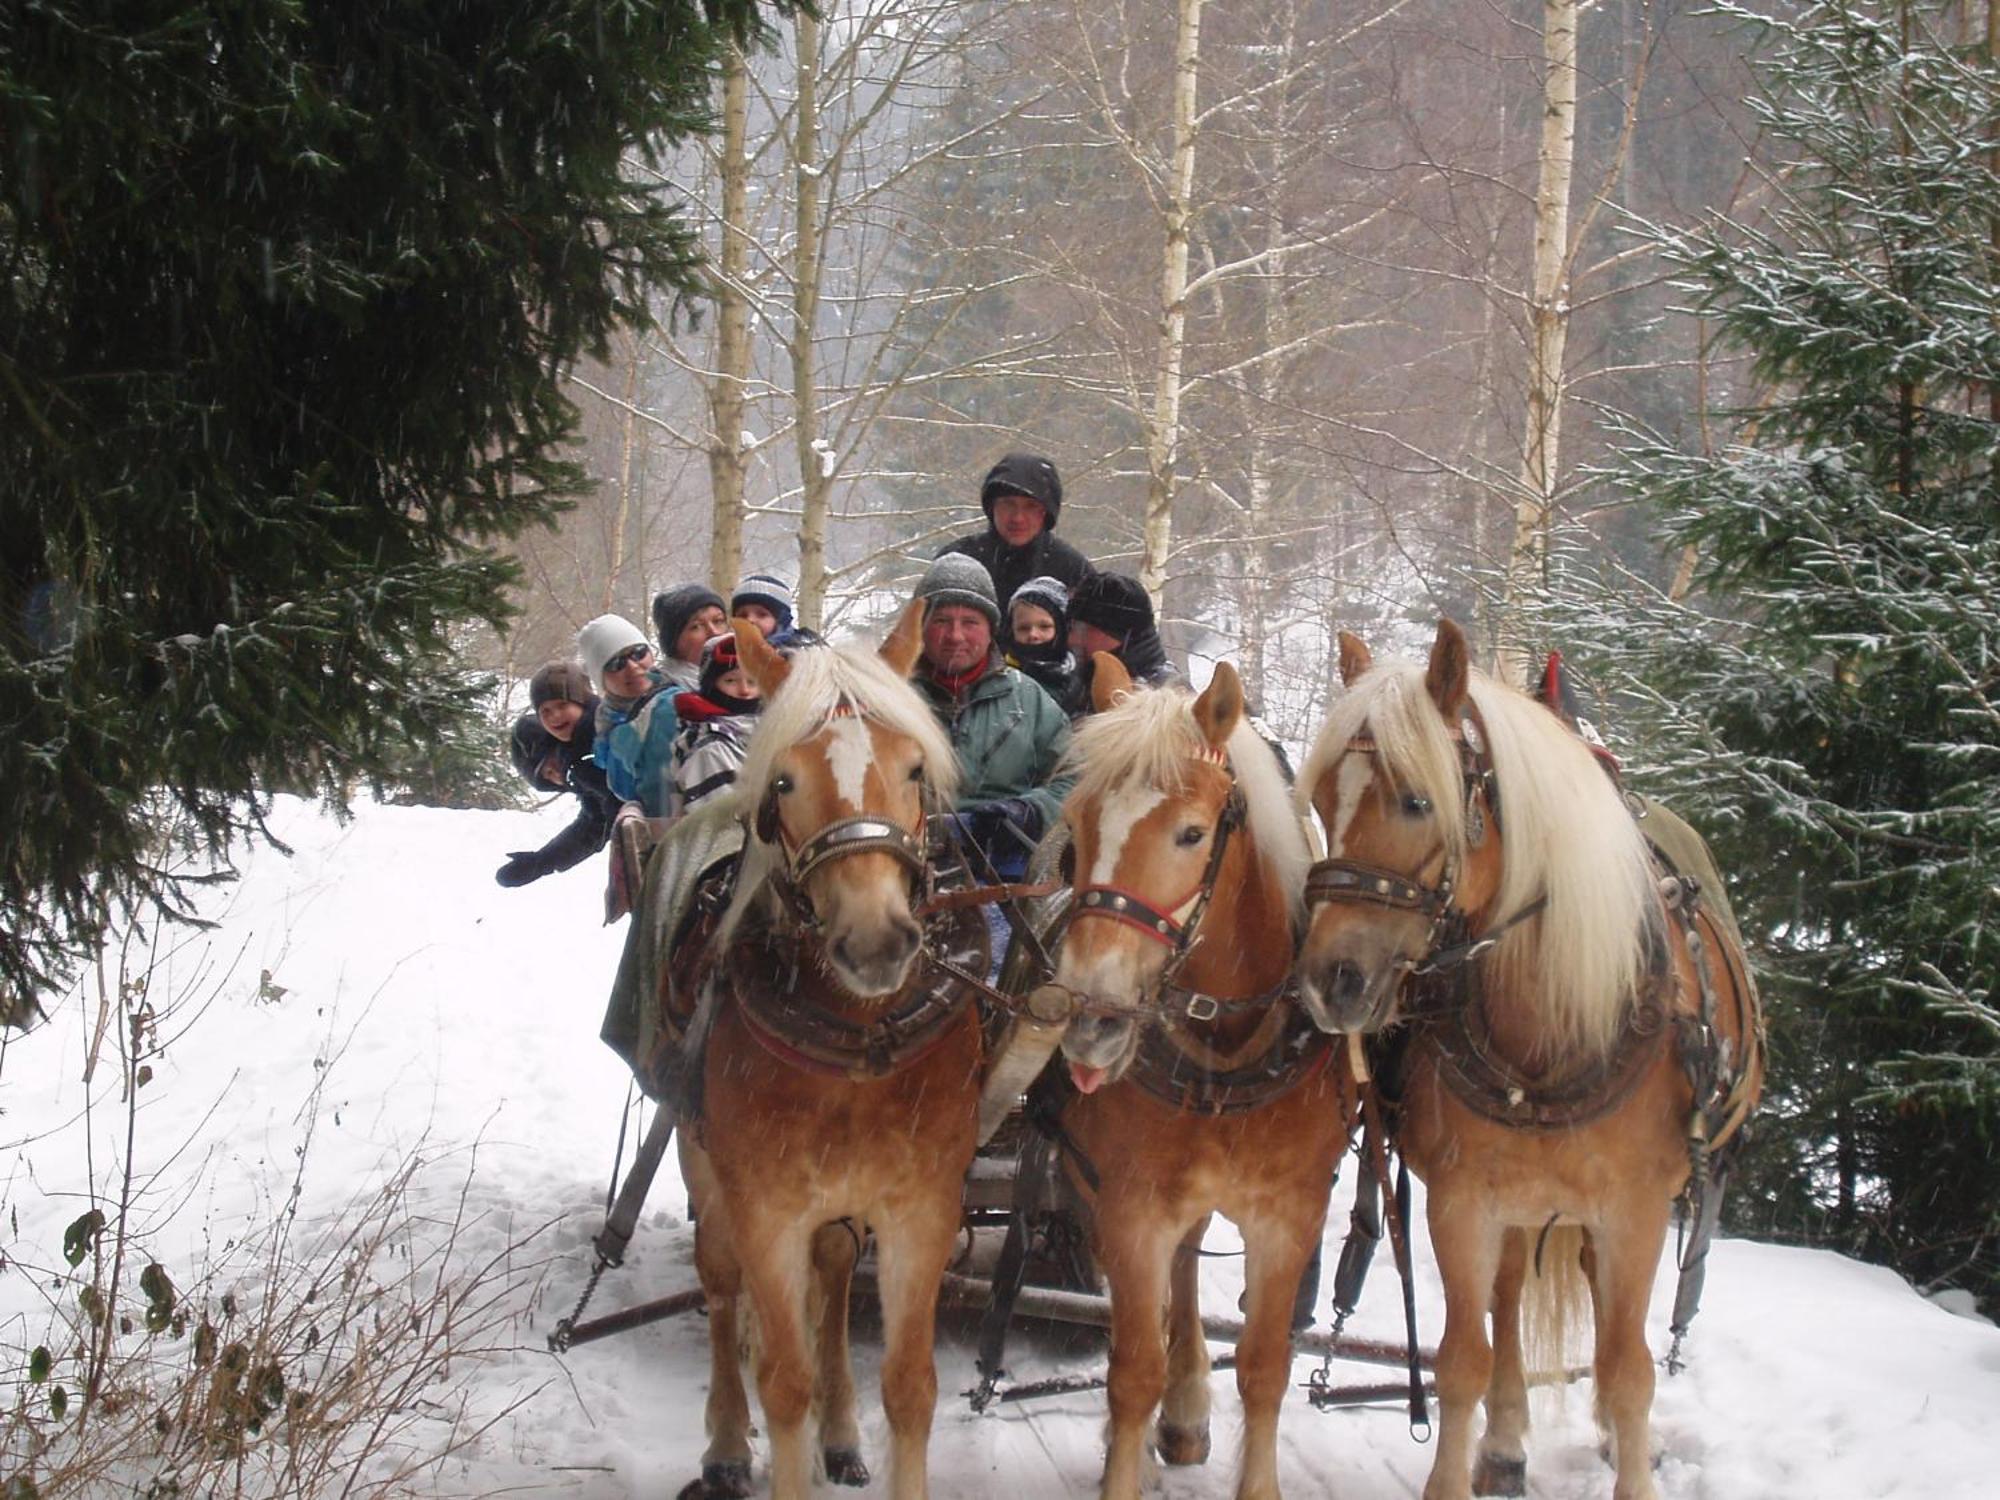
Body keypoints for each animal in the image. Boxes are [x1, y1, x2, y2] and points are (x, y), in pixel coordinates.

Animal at [672, 604, 984, 1500]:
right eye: (782, 781)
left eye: (914, 769)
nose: (875, 940)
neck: (854, 1042)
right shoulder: (767, 1208)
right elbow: (783, 1380)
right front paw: (768, 1436)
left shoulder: (922, 1206)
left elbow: (910, 1386)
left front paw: (852, 1429)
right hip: (703, 1167)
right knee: (719, 1281)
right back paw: (725, 1444)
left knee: (839, 1277)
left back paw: (839, 1433)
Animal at [1040, 656, 1352, 1500]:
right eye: (1078, 827)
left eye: (1191, 833)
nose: (1091, 1019)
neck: (1225, 1054)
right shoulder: (1130, 1207)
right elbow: (1131, 1371)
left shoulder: (1289, 1216)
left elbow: (1265, 1366)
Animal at [1288, 624, 1760, 1500]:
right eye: (1326, 799)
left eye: (1418, 800)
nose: (1329, 981)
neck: (1553, 1029)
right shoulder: (1464, 1200)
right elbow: (1462, 1359)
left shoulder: (1636, 1210)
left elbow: (1629, 1368)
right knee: (1507, 1304)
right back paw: (1505, 1446)